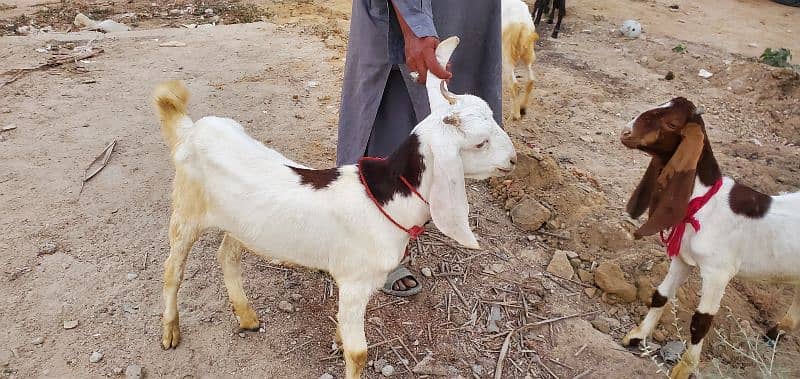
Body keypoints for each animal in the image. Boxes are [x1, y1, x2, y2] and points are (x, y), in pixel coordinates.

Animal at [620, 96, 800, 378]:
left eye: (672, 123)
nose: (626, 132)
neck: (705, 202)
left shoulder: (718, 272)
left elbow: (701, 321)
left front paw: (683, 369)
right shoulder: (682, 259)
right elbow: (661, 295)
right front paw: (637, 336)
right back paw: (775, 332)